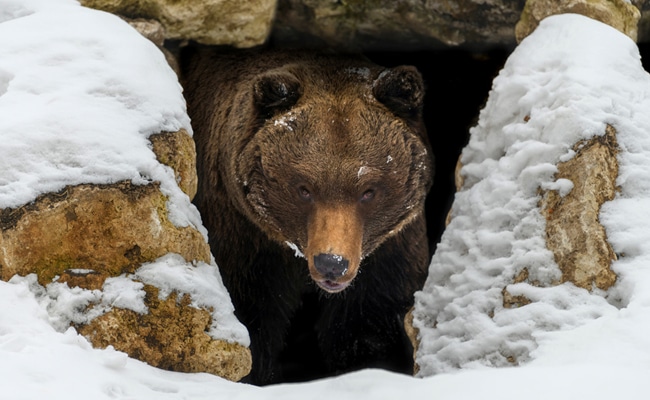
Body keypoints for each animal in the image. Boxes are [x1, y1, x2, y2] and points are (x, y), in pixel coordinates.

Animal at [180, 47, 432, 384]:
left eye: (368, 191)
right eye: (304, 189)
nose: (332, 263)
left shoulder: (389, 254)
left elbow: (368, 328)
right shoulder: (245, 239)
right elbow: (252, 317)